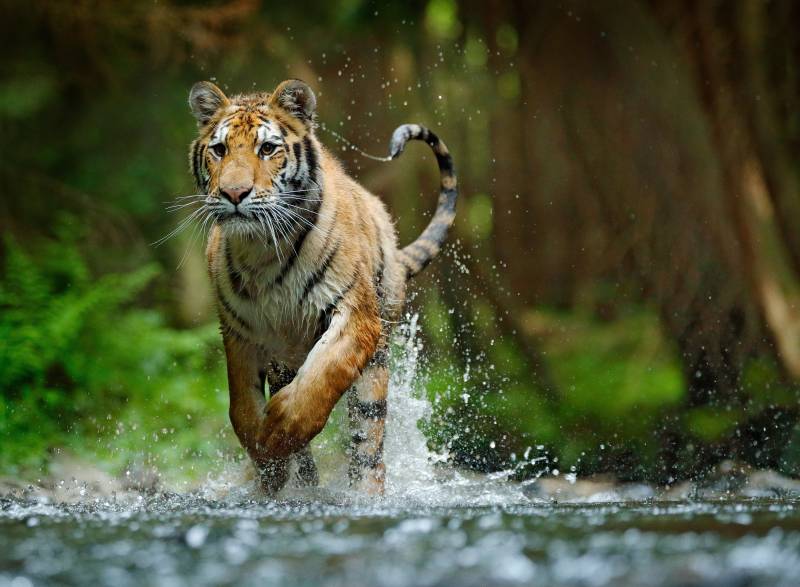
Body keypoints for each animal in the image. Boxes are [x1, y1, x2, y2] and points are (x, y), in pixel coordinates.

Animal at [186, 79, 457, 494]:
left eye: (267, 148)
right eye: (219, 150)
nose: (234, 194)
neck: (261, 250)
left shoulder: (356, 316)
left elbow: (320, 380)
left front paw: (278, 430)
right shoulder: (239, 330)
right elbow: (242, 407)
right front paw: (267, 461)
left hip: (376, 362)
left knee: (368, 444)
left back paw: (364, 494)